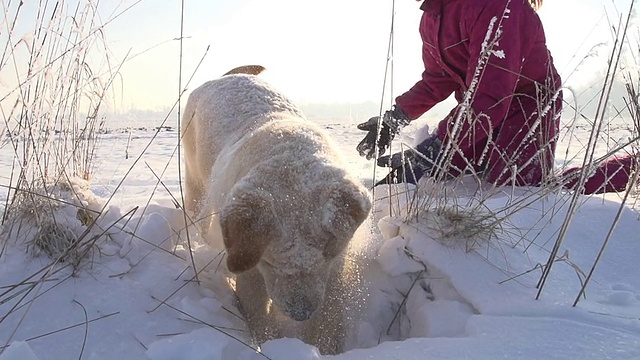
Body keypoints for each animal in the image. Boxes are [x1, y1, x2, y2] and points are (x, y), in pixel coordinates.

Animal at [181, 66, 370, 352]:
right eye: (269, 261)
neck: (289, 154)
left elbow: (327, 317)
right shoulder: (248, 261)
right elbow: (257, 315)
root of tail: (225, 77)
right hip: (194, 179)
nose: (301, 313)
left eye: (326, 254)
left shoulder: (336, 265)